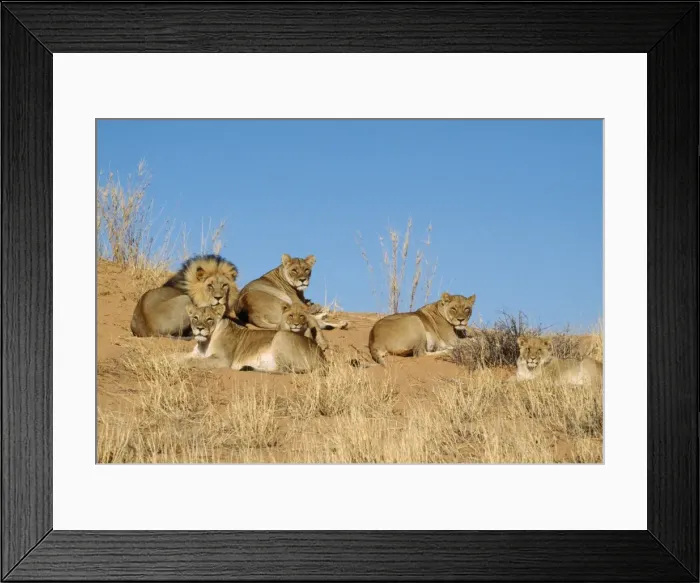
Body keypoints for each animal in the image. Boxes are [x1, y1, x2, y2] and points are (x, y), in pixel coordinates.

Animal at [180, 303, 327, 374]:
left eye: (209, 319)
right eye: (195, 318)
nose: (199, 328)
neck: (204, 343)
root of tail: (323, 358)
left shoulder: (222, 360)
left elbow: (195, 362)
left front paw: (181, 364)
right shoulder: (196, 353)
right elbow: (179, 355)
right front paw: (174, 360)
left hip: (280, 336)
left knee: (284, 370)